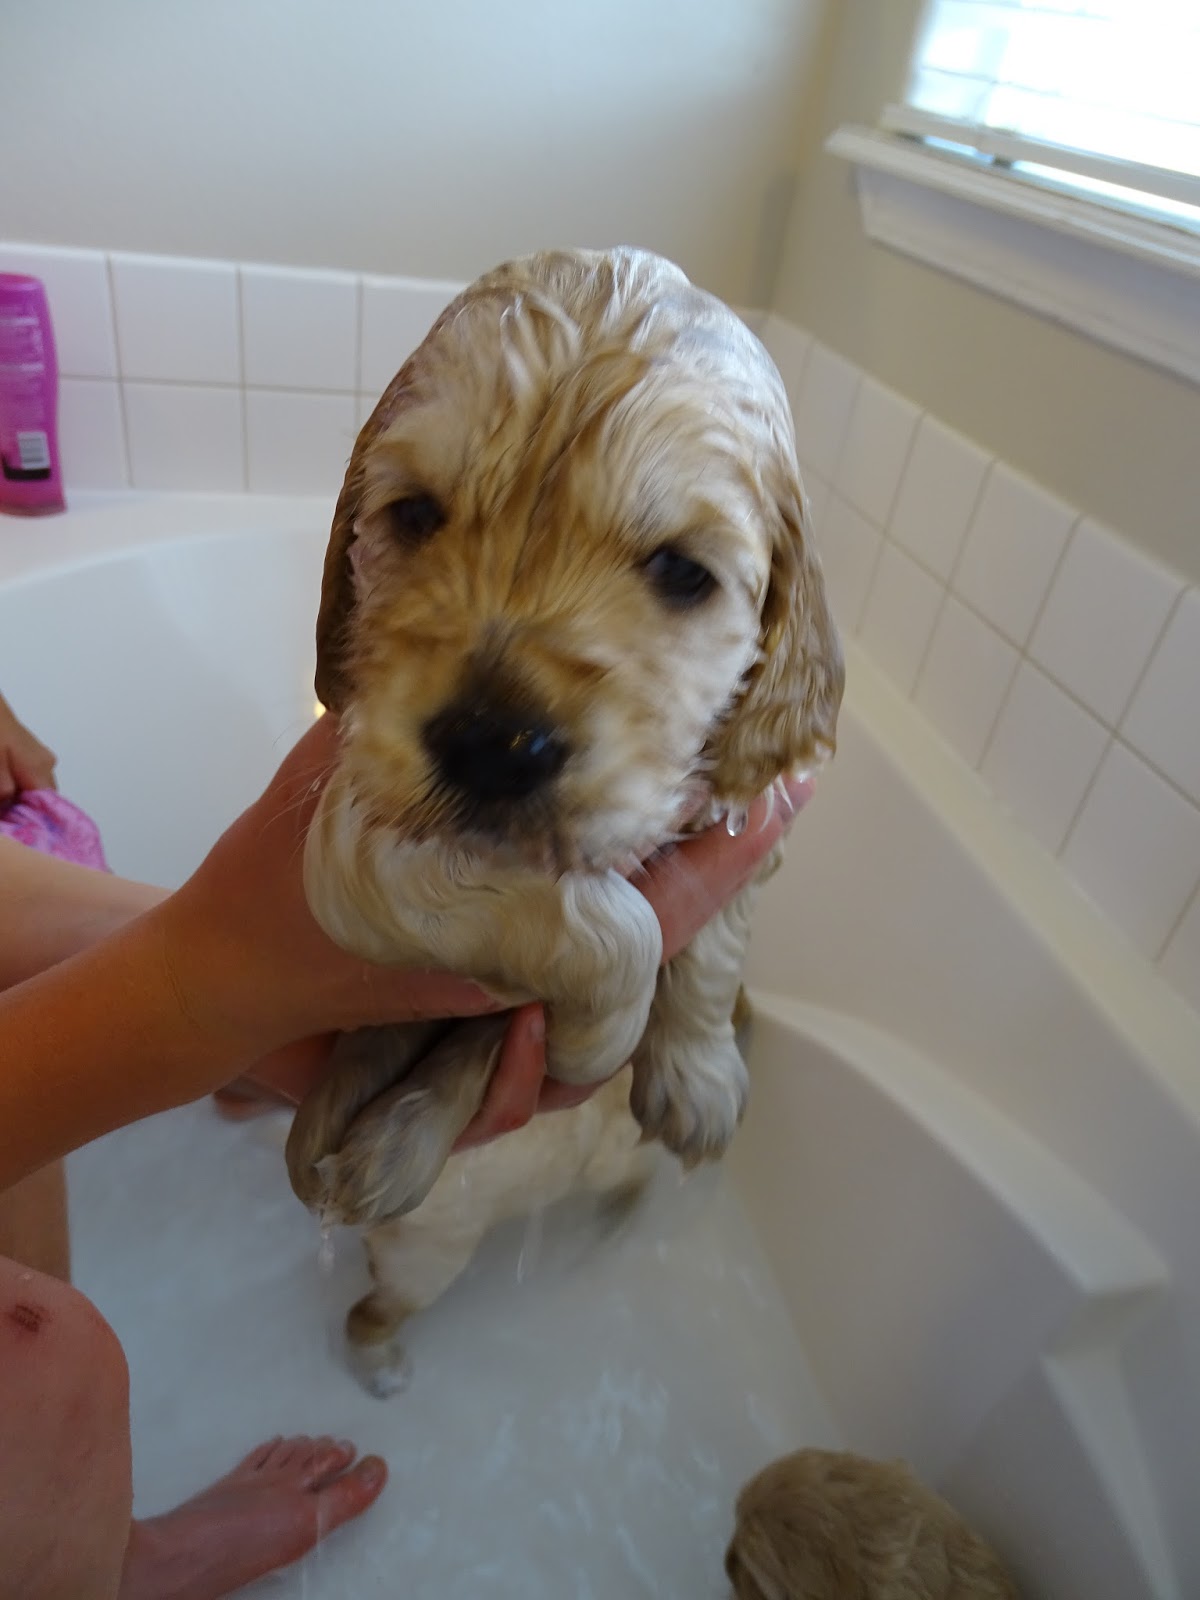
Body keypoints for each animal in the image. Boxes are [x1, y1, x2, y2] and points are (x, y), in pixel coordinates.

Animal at [281, 243, 844, 1395]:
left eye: (680, 570)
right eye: (414, 516)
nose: (491, 744)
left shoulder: (752, 809)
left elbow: (715, 937)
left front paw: (696, 1075)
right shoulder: (358, 836)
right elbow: (611, 927)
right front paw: (603, 1035)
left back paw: (387, 1136)